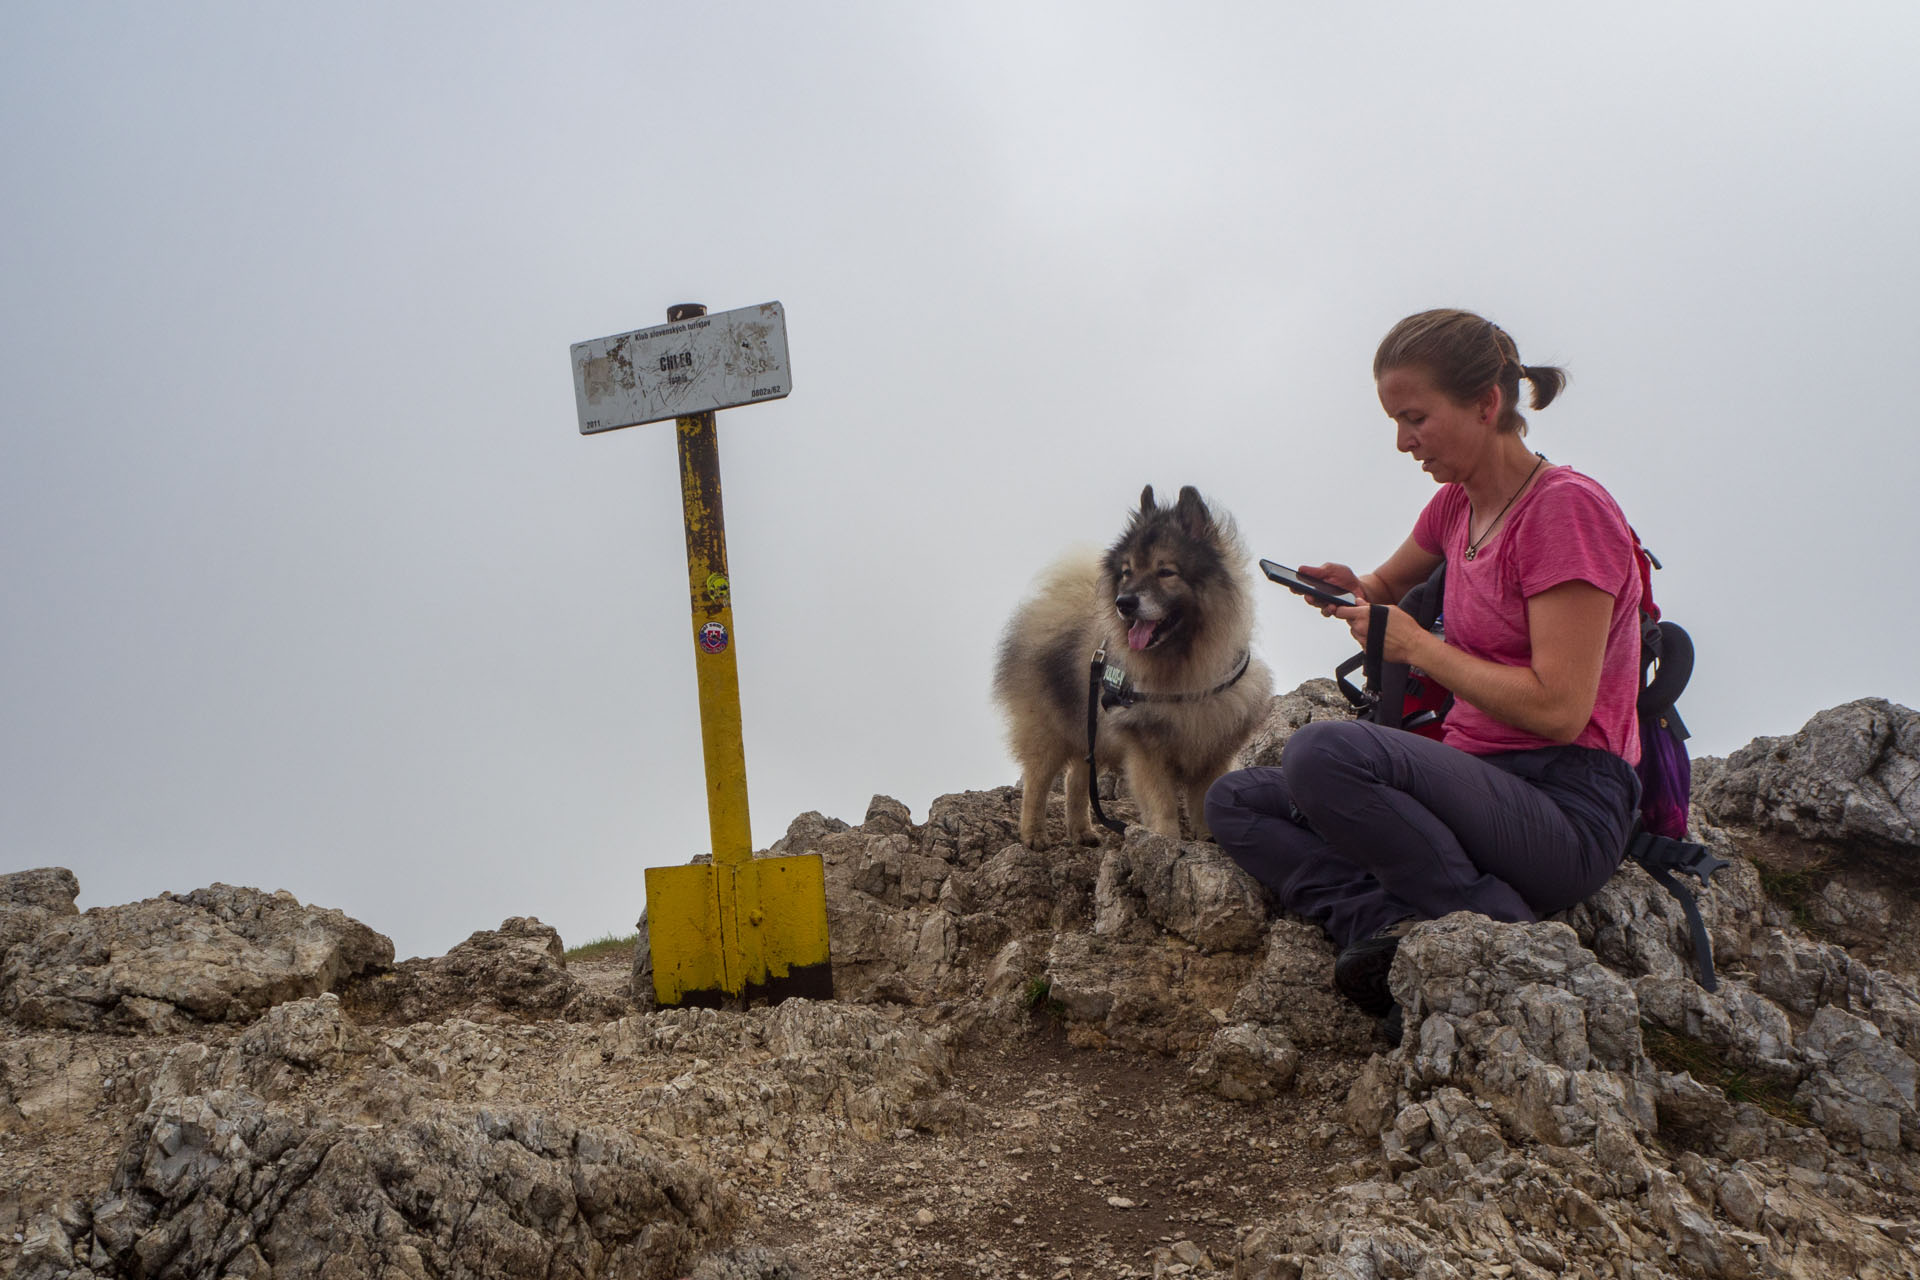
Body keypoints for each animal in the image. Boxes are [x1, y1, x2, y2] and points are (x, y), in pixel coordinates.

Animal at [990, 485, 1274, 844]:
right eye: (1127, 573)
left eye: (1165, 572)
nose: (1123, 602)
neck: (1187, 671)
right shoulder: (1145, 746)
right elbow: (1161, 801)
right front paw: (1166, 839)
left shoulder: (1213, 748)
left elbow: (1205, 798)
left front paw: (1208, 836)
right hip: (1047, 731)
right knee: (1037, 781)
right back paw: (1034, 835)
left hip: (1089, 730)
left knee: (1076, 779)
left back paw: (1082, 832)